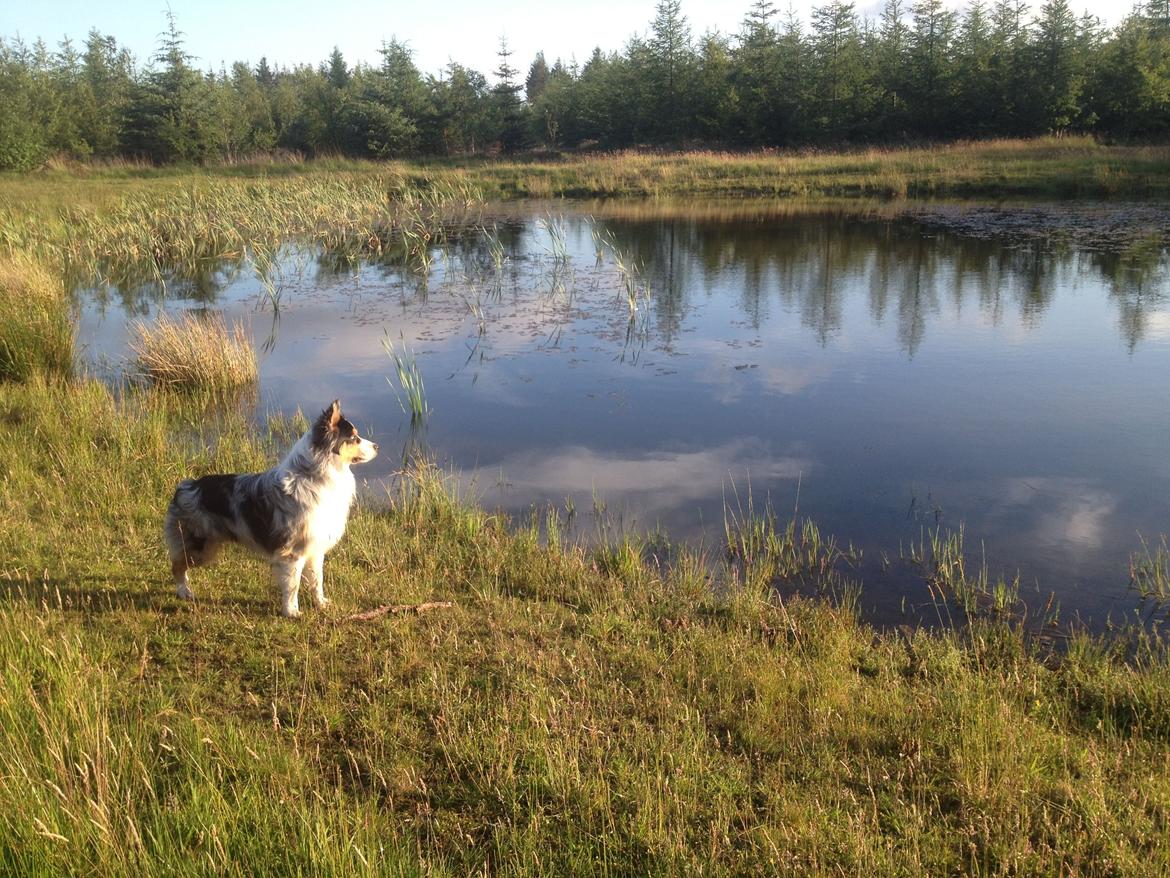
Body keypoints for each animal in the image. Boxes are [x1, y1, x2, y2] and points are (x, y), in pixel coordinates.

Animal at [164, 400, 379, 618]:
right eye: (353, 438)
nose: (377, 446)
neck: (313, 477)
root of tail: (186, 486)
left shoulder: (315, 547)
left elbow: (317, 580)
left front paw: (321, 604)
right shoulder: (292, 552)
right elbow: (293, 585)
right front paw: (292, 612)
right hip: (200, 545)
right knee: (176, 565)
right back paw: (184, 592)